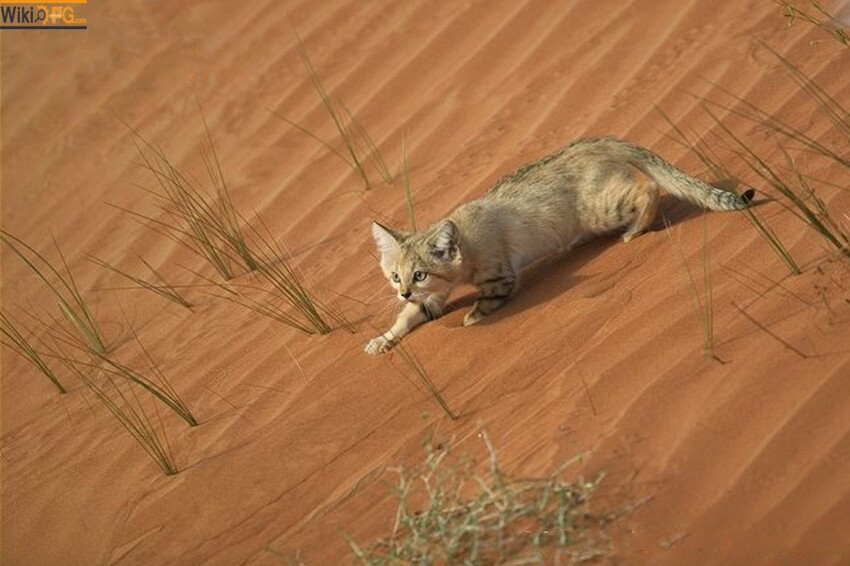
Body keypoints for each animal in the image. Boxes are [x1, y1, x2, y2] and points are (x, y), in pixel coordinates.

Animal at [362, 136, 748, 356]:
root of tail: (597, 141)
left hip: (601, 208)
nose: (403, 292)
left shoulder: (499, 276)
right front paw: (382, 339)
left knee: (648, 189)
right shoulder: (433, 298)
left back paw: (635, 229)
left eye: (420, 274)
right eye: (395, 276)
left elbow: (487, 303)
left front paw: (471, 318)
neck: (465, 242)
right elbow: (408, 316)